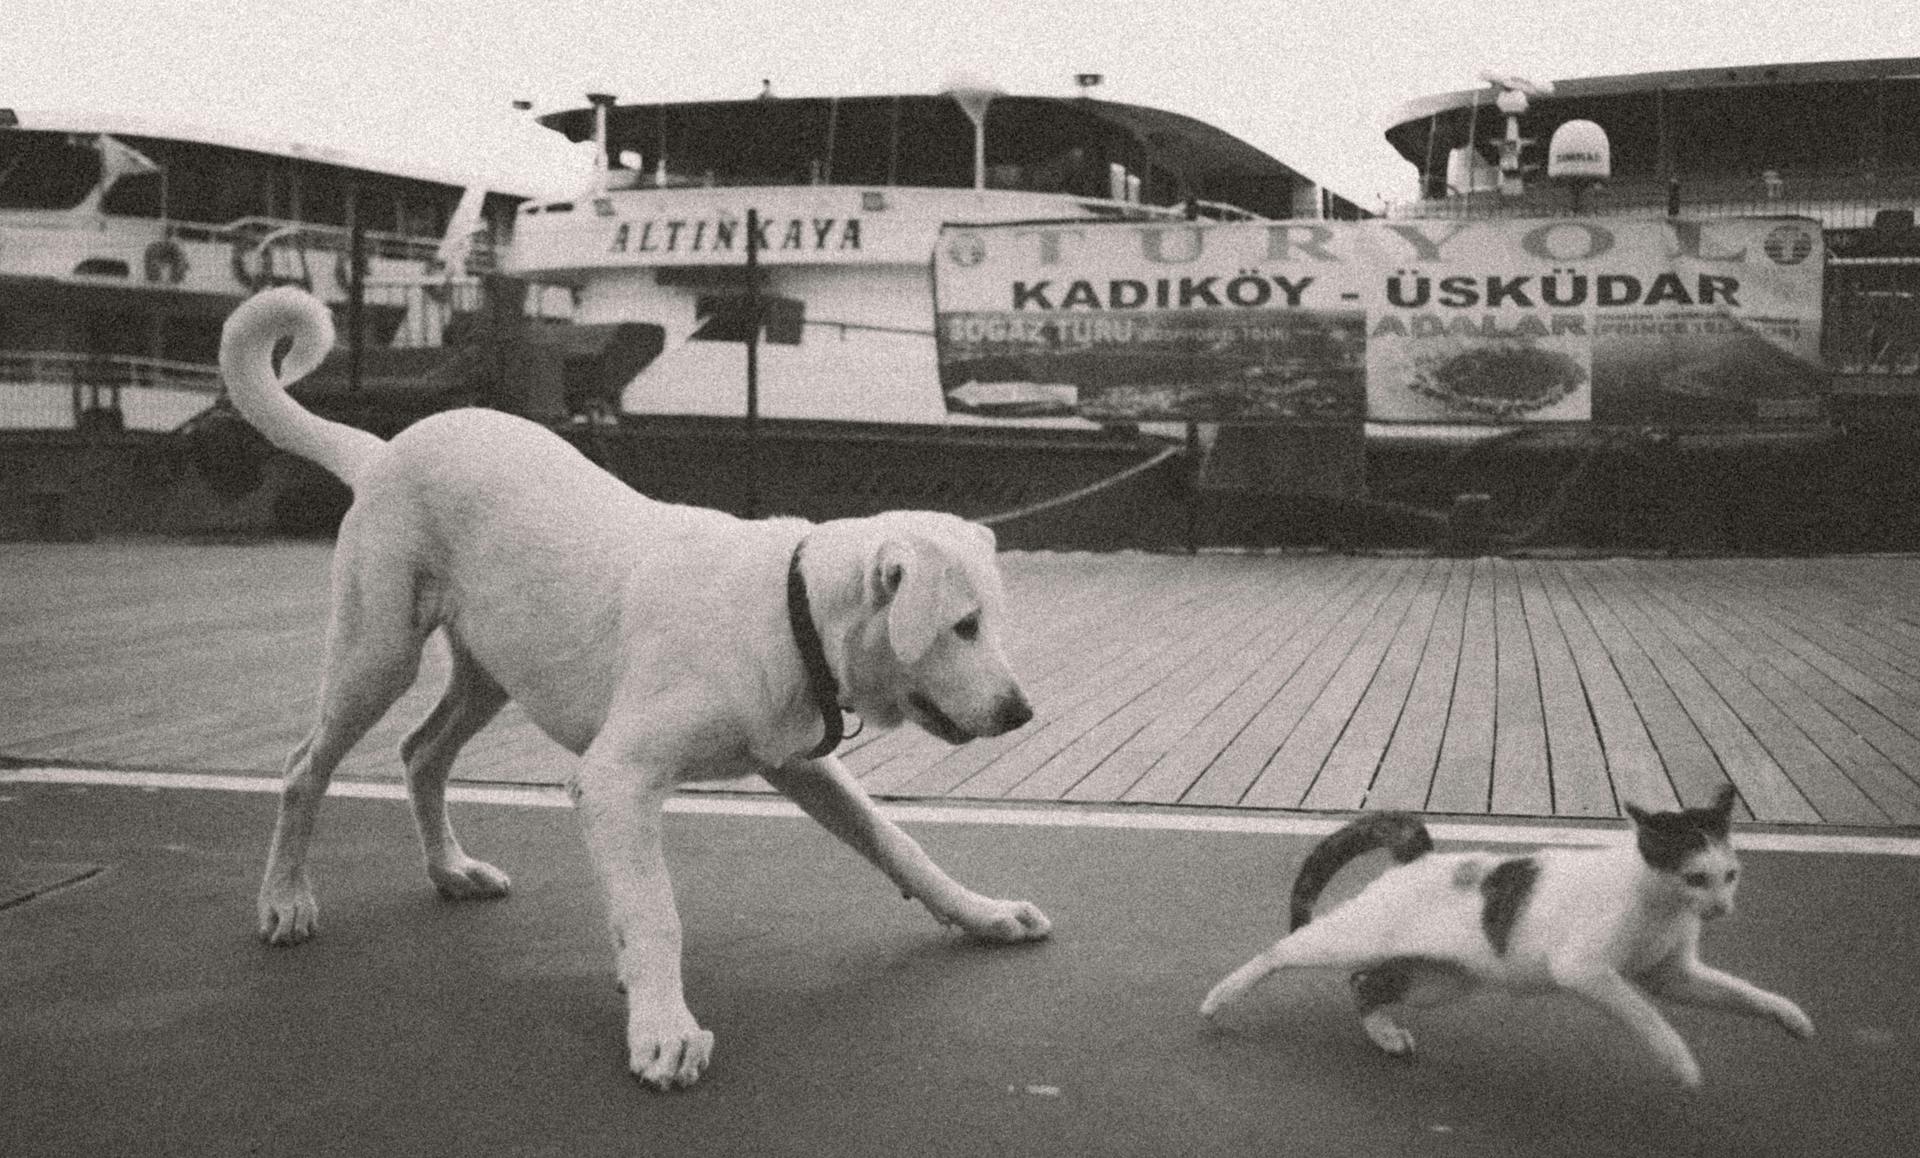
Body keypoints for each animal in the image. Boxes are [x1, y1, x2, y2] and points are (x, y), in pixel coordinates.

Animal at [222, 288, 1052, 1090]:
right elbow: (655, 912)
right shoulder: (616, 781)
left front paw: (981, 914)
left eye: (990, 622)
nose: (1021, 713)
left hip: (494, 671)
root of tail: (383, 449)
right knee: (304, 768)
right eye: (964, 626)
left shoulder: (802, 767)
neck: (788, 608)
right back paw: (285, 899)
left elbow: (898, 844)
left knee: (421, 753)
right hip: (378, 655)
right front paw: (662, 1029)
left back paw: (450, 870)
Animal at [1198, 783, 1812, 1090]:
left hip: (1442, 980)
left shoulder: (1675, 975)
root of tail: (1419, 856)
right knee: (1283, 952)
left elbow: (1745, 994)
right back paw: (1219, 998)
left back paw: (1386, 1034)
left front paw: (1792, 1019)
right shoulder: (1584, 970)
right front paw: (1680, 1063)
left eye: (1730, 875)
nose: (1722, 909)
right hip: (1355, 936)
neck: (1660, 906)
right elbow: (1645, 1015)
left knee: (1365, 985)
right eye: (1695, 877)